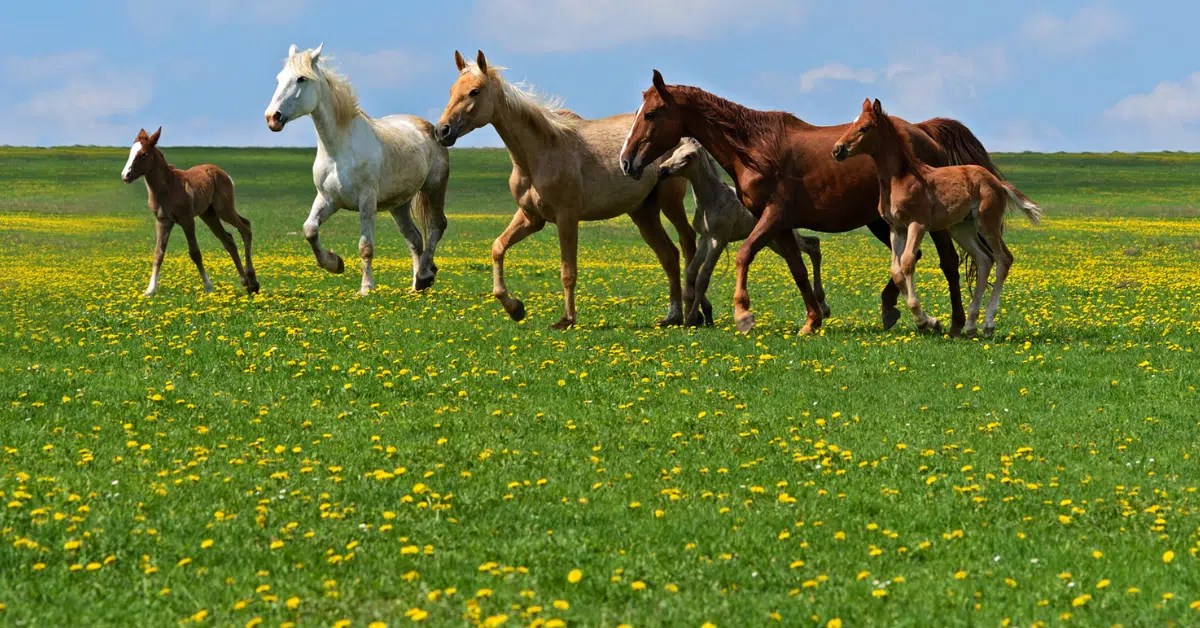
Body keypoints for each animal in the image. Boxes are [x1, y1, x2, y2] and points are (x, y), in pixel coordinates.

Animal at [120, 127, 258, 297]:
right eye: (131, 152)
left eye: (144, 154)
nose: (125, 175)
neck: (169, 188)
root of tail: (223, 173)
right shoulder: (163, 221)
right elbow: (158, 253)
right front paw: (150, 290)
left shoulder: (187, 220)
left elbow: (195, 253)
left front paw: (208, 287)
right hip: (209, 215)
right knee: (228, 240)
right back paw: (246, 283)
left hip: (224, 209)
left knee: (245, 227)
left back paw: (253, 282)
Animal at [264, 44, 449, 295]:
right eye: (279, 78)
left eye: (301, 79)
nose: (272, 118)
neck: (338, 151)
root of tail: (429, 127)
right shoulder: (327, 199)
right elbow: (309, 230)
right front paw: (334, 264)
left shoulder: (367, 202)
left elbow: (366, 247)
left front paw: (366, 288)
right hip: (399, 205)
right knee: (414, 238)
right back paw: (416, 285)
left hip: (434, 188)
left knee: (436, 227)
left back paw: (424, 276)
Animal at [434, 51, 702, 329]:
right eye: (452, 90)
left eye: (474, 91)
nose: (442, 130)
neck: (539, 155)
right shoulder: (531, 218)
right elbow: (498, 247)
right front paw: (515, 308)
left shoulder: (567, 217)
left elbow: (568, 271)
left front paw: (566, 319)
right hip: (643, 212)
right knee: (669, 255)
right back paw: (673, 316)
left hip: (670, 202)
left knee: (687, 241)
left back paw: (696, 314)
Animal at [657, 138, 826, 327]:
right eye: (674, 152)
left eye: (689, 156)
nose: (662, 170)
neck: (712, 200)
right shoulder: (704, 239)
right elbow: (691, 271)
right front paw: (695, 317)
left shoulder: (718, 240)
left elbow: (703, 278)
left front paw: (692, 318)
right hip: (774, 242)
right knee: (812, 243)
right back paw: (823, 309)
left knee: (813, 245)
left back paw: (822, 308)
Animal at [833, 99, 1042, 337]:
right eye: (852, 123)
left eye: (864, 128)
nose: (837, 149)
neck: (900, 178)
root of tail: (997, 182)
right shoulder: (896, 228)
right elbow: (896, 271)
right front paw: (930, 321)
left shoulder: (918, 224)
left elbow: (907, 263)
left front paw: (924, 321)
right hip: (962, 228)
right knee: (983, 259)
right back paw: (971, 325)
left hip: (987, 224)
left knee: (1003, 258)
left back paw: (988, 324)